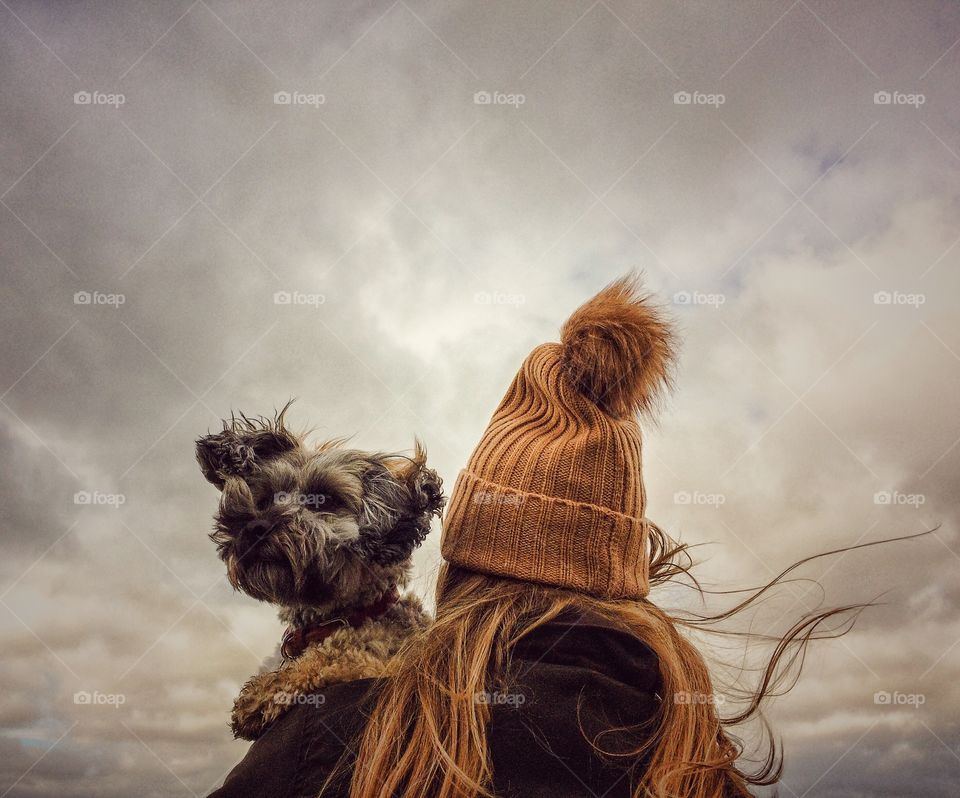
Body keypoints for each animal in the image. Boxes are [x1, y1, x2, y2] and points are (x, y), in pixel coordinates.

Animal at [200, 406, 446, 744]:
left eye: (326, 499)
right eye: (265, 498)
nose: (255, 528)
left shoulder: (382, 657)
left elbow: (338, 656)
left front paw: (265, 691)